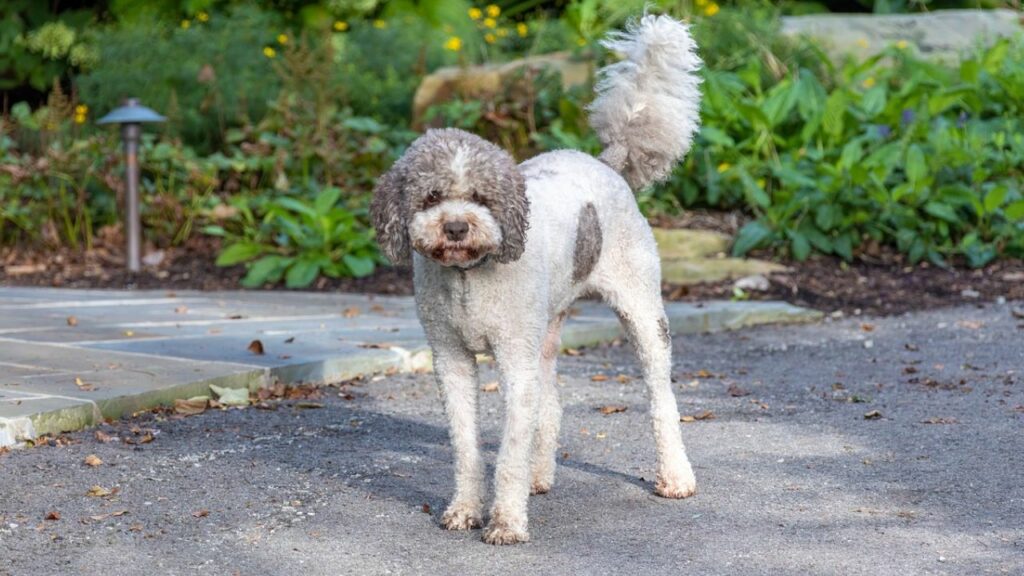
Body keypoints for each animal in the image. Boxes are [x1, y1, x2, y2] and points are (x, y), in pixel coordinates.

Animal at [370, 13, 704, 541]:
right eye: (431, 196)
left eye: (481, 197)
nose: (456, 226)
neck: (468, 278)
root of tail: (607, 162)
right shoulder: (451, 359)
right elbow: (467, 446)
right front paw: (465, 510)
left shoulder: (514, 361)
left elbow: (508, 451)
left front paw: (506, 521)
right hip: (545, 332)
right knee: (551, 407)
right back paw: (538, 477)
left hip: (643, 313)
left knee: (661, 400)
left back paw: (675, 477)